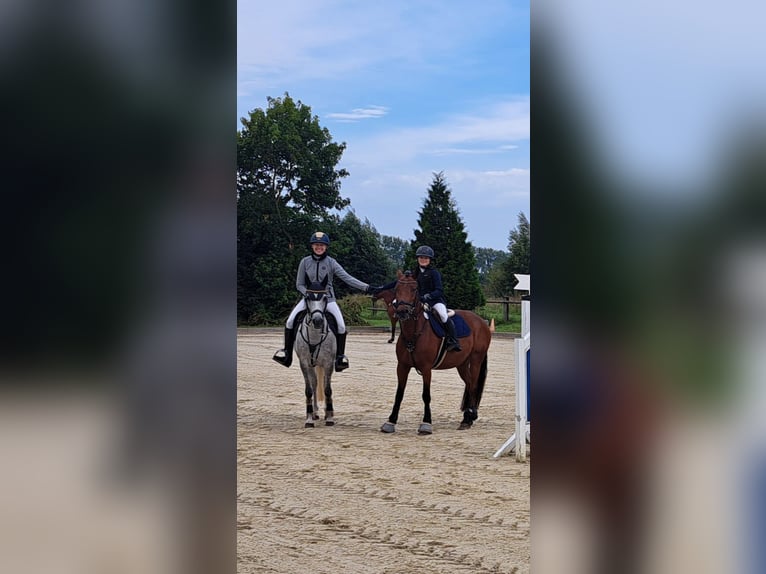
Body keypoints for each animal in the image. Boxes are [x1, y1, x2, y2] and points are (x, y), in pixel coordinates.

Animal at [296, 276, 338, 430]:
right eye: (307, 297)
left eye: (325, 298)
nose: (318, 321)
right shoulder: (304, 363)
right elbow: (309, 389)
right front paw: (309, 419)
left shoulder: (328, 363)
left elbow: (327, 389)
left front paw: (330, 418)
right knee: (314, 383)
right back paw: (314, 413)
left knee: (325, 382)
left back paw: (327, 412)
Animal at [380, 272, 496, 434]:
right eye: (396, 288)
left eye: (414, 289)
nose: (402, 311)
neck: (413, 333)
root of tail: (481, 322)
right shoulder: (402, 367)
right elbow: (399, 394)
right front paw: (391, 421)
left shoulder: (426, 368)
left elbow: (426, 395)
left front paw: (426, 423)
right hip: (461, 363)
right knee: (468, 383)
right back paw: (469, 416)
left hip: (476, 360)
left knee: (473, 385)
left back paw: (468, 418)